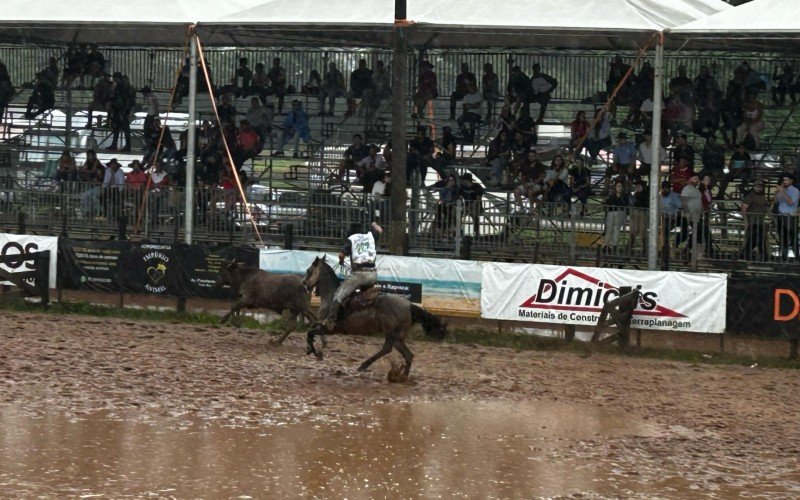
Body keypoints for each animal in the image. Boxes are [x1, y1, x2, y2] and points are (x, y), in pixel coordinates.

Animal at [302, 256, 446, 376]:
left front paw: (317, 353)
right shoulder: (321, 324)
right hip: (393, 336)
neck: (331, 295)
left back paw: (401, 377)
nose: (304, 284)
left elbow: (310, 332)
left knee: (405, 354)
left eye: (309, 270)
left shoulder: (328, 328)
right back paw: (367, 366)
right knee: (391, 350)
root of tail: (409, 305)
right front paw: (311, 349)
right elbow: (312, 327)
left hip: (396, 337)